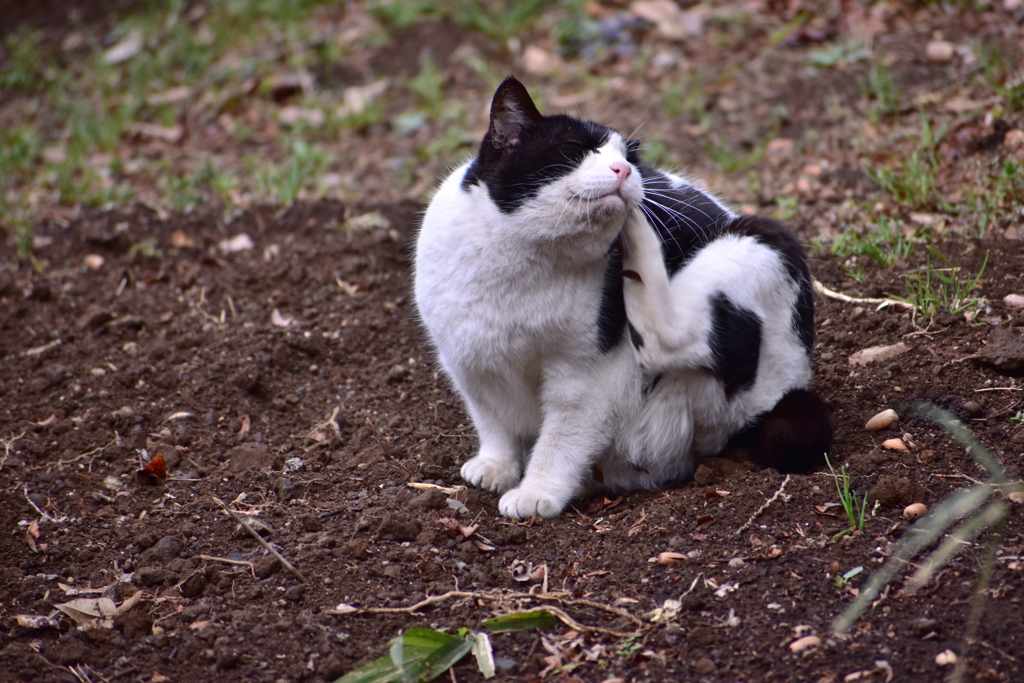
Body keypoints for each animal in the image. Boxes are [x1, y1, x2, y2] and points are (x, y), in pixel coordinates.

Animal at [413, 76, 831, 518]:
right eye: (576, 149)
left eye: (629, 155)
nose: (626, 170)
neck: (521, 266)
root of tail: (786, 396)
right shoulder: (471, 362)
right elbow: (495, 423)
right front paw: (496, 467)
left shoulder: (587, 378)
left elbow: (560, 442)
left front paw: (535, 494)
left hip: (759, 240)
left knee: (667, 338)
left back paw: (639, 231)